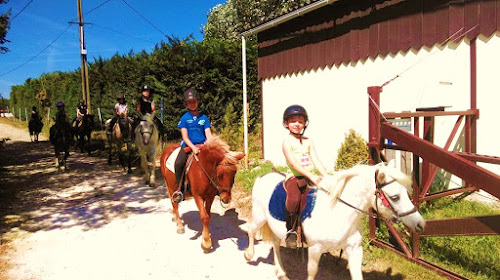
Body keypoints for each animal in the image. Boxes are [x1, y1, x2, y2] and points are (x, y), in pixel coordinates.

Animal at [244, 160, 424, 280]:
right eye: (395, 197)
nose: (420, 224)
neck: (338, 211)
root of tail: (263, 176)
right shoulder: (315, 249)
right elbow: (312, 272)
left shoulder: (354, 249)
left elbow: (357, 275)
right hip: (260, 217)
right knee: (251, 230)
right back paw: (249, 254)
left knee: (275, 243)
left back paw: (281, 272)